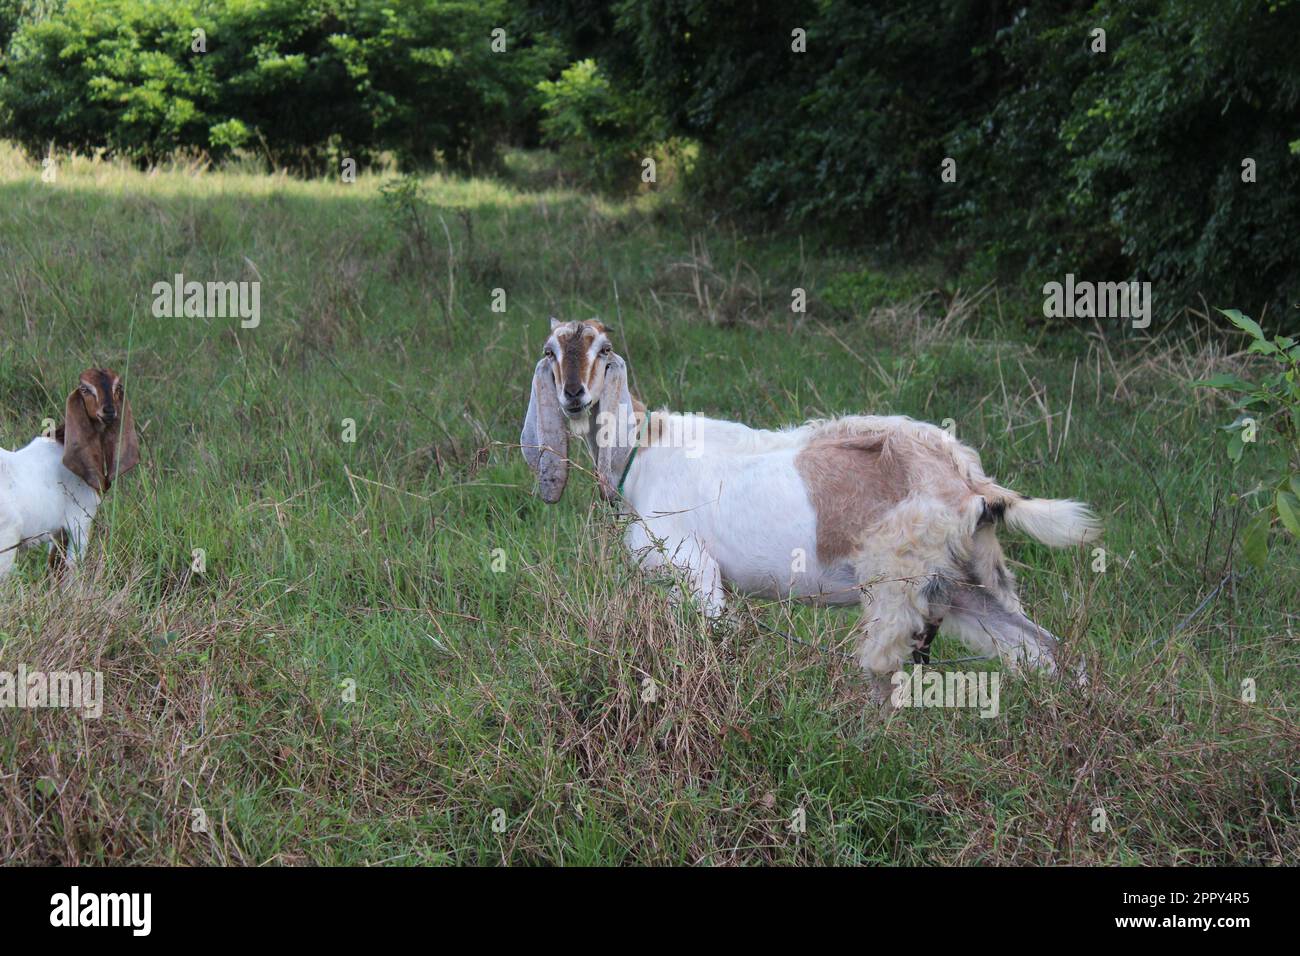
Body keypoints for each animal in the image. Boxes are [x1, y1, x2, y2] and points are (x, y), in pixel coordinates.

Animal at [517, 321, 1097, 681]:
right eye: (551, 352)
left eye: (602, 350)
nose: (574, 394)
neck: (644, 449)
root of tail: (970, 479)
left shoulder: (697, 572)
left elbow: (719, 642)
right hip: (966, 583)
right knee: (1046, 651)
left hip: (895, 580)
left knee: (884, 671)